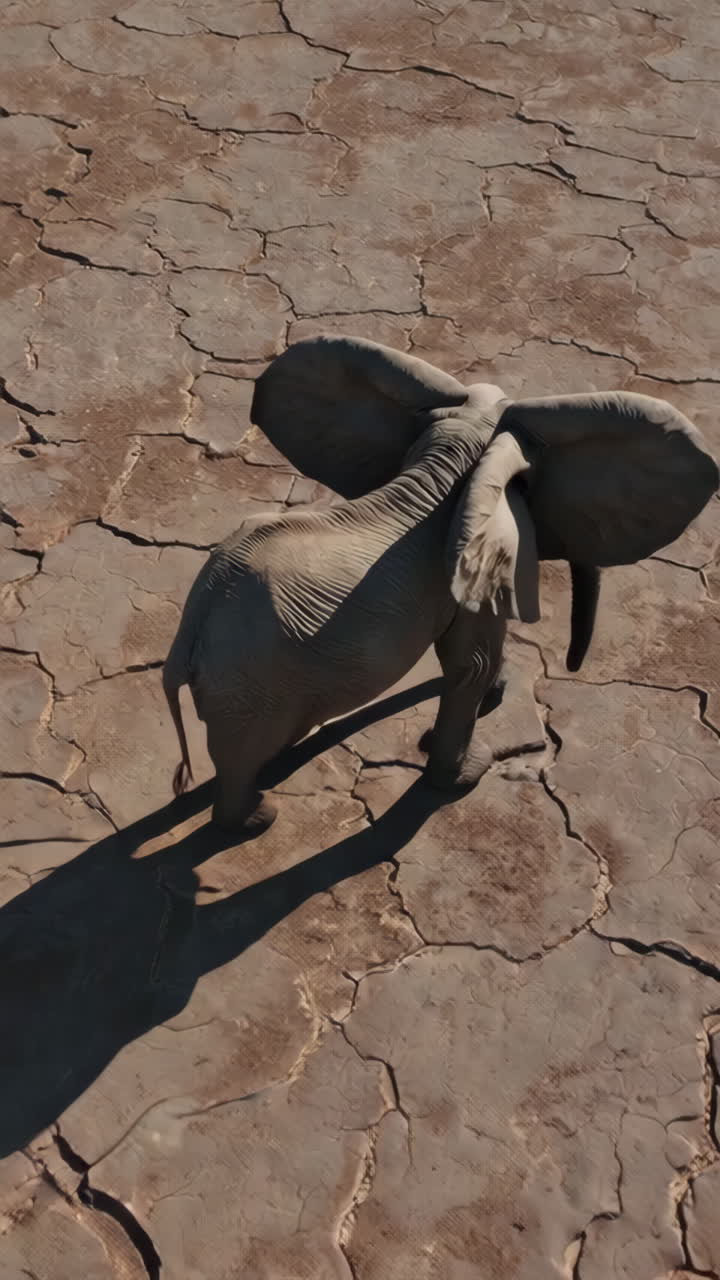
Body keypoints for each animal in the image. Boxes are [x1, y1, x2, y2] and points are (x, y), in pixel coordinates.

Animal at [163, 336, 717, 833]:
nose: (572, 665)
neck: (453, 457)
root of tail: (190, 633)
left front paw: (493, 697)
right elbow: (470, 664)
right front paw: (470, 769)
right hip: (250, 689)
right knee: (240, 761)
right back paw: (259, 818)